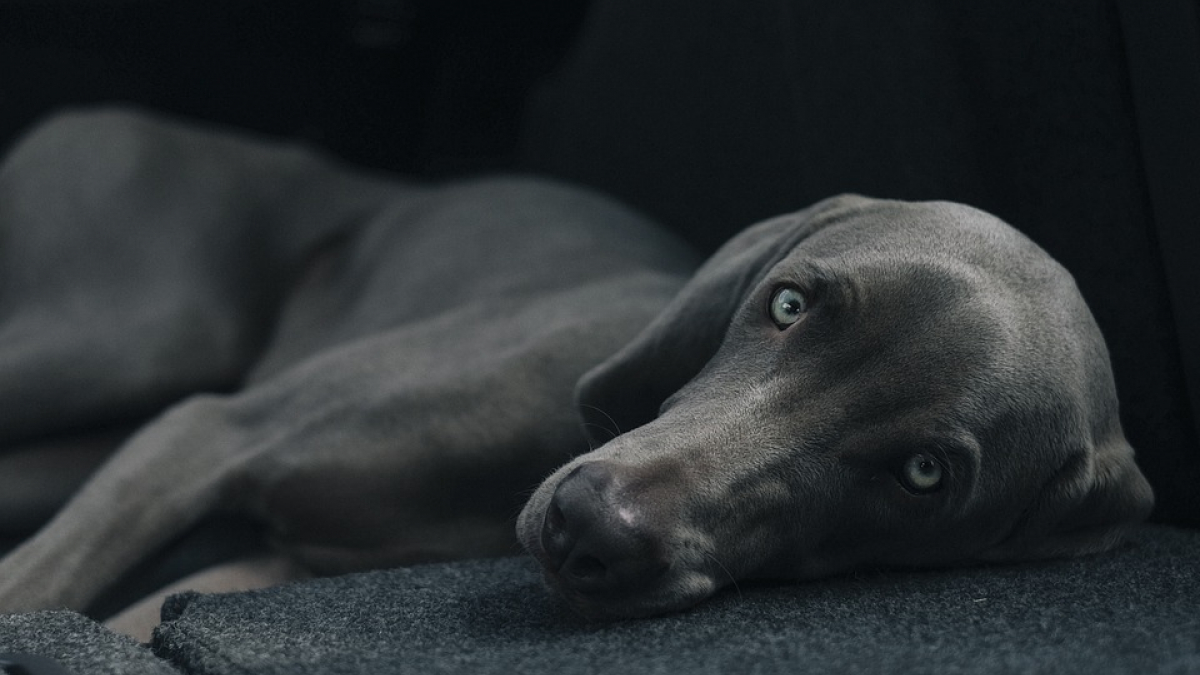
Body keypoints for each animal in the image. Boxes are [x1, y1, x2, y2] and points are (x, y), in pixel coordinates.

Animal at [0, 106, 1152, 629]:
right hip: (126, 335)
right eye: (788, 304)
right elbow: (34, 588)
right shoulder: (206, 432)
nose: (586, 525)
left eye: (924, 476)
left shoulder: (264, 569)